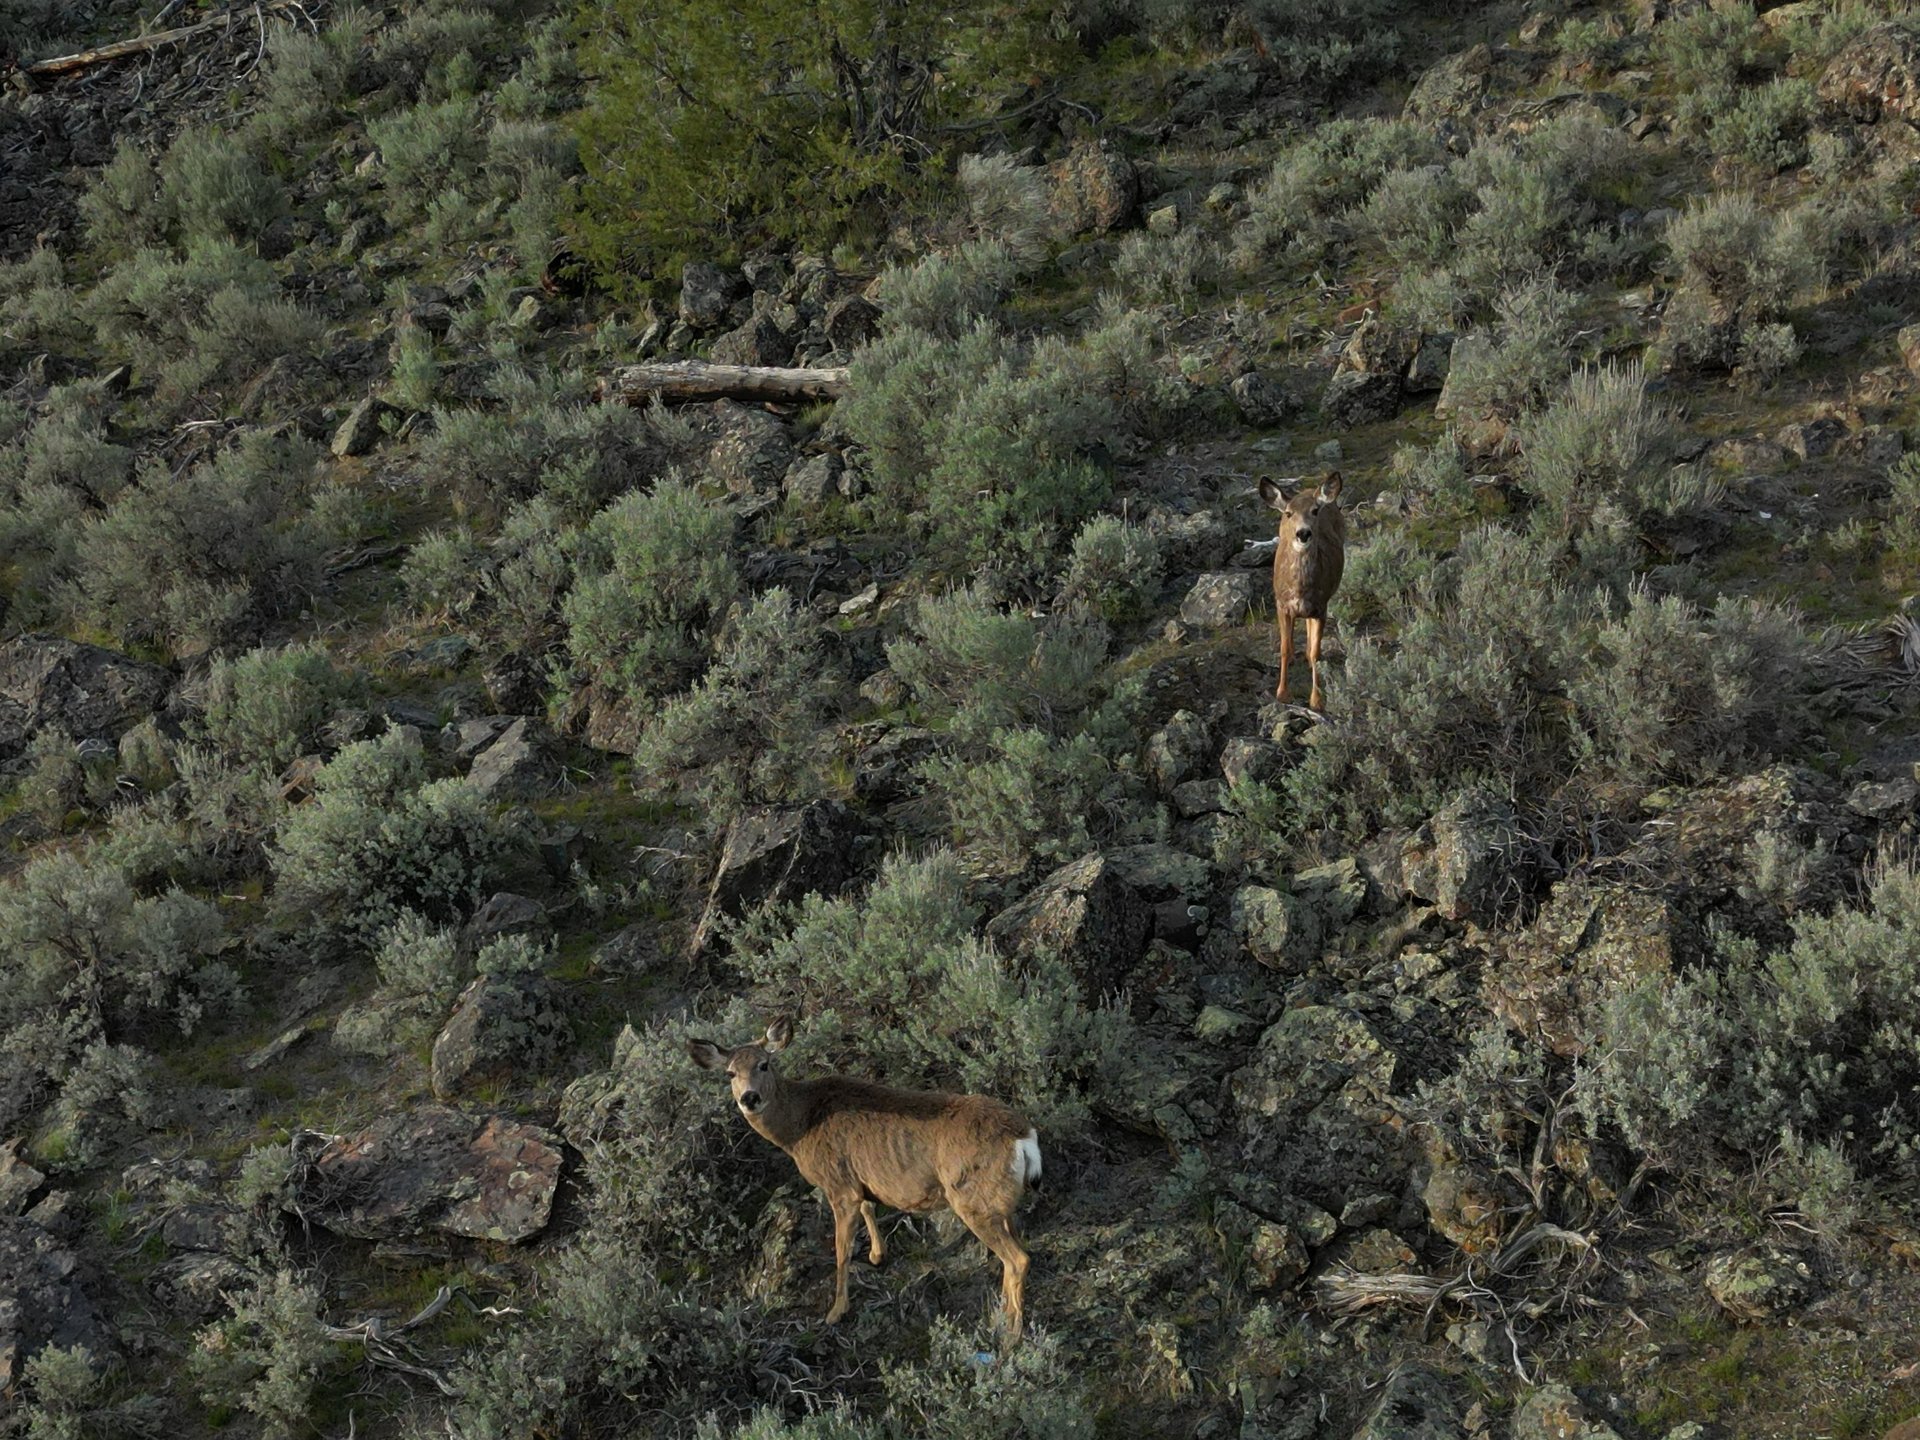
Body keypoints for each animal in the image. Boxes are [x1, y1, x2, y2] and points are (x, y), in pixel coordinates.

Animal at [688, 1017, 1042, 1341]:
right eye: (730, 1073)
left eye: (764, 1064)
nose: (749, 1098)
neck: (801, 1126)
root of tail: (1023, 1137)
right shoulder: (860, 1180)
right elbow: (869, 1208)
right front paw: (876, 1255)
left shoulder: (838, 1184)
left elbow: (841, 1248)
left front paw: (836, 1311)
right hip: (998, 1202)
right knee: (1015, 1251)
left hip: (973, 1200)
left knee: (1019, 1259)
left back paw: (1011, 1335)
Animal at [1259, 471, 1347, 711]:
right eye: (1289, 513)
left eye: (1315, 511)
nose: (1303, 533)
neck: (1300, 589)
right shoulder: (1281, 604)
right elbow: (1284, 648)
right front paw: (1282, 694)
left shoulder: (1321, 606)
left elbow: (1315, 652)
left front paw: (1317, 700)